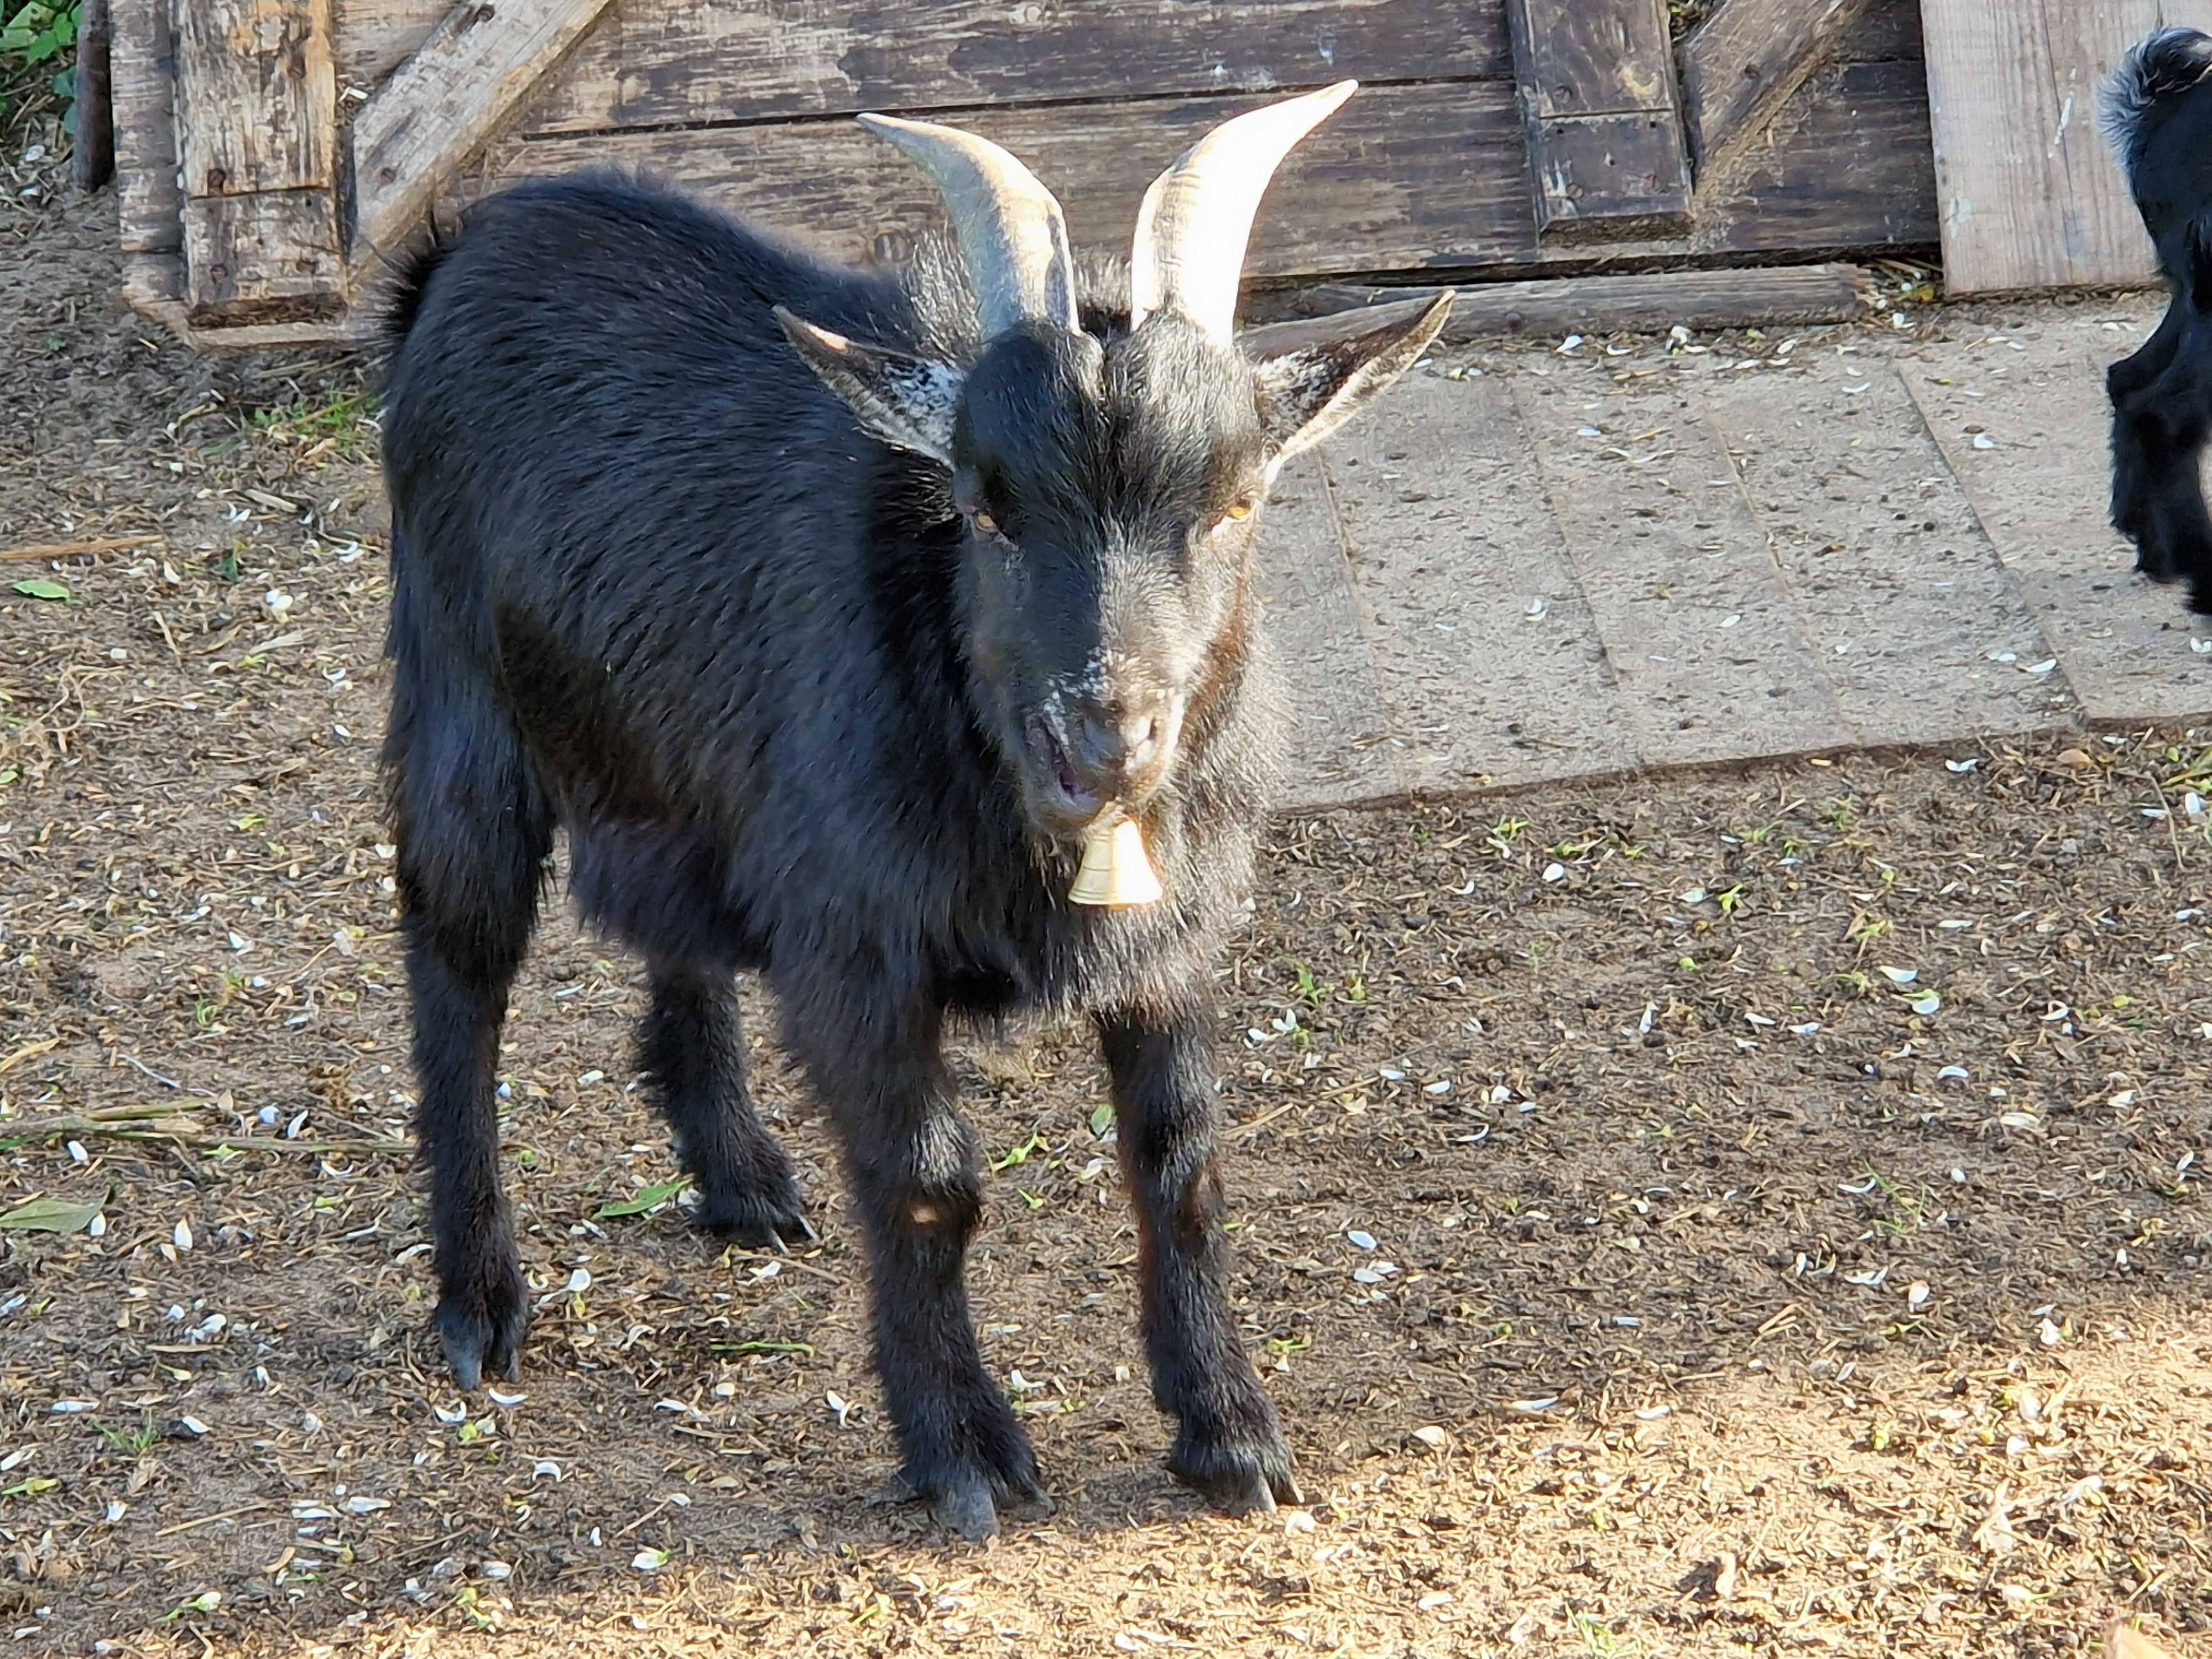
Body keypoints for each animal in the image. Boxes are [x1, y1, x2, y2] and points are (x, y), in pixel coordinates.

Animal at [380, 88, 1451, 1548]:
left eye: (1235, 501)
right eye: (986, 508)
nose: (1104, 742)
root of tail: (461, 251)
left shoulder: (1167, 941)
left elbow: (1179, 1161)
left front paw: (1228, 1430)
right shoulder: (856, 951)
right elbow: (927, 1177)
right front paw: (964, 1451)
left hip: (660, 758)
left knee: (667, 921)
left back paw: (739, 1177)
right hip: (459, 710)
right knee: (458, 973)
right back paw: (480, 1302)